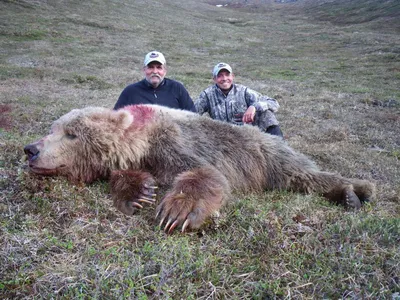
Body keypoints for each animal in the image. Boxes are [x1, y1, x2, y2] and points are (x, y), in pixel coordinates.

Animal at [24, 104, 376, 233]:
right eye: (53, 128)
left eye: (71, 133)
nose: (31, 149)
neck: (143, 138)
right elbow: (125, 177)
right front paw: (138, 193)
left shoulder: (173, 142)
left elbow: (206, 173)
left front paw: (178, 210)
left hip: (270, 156)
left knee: (306, 175)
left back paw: (355, 190)